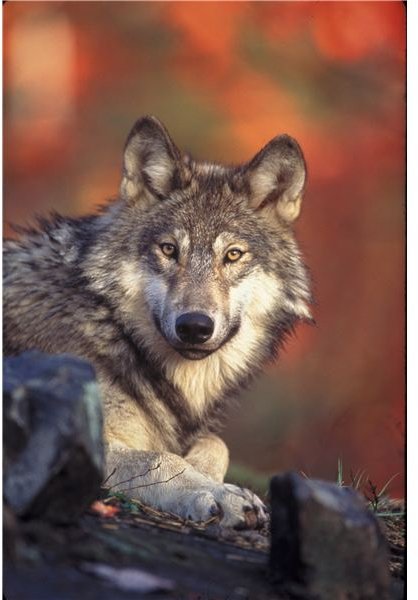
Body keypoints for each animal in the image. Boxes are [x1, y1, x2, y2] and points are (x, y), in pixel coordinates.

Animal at [3, 115, 310, 528]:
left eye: (232, 255)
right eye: (169, 250)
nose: (194, 326)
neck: (112, 328)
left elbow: (216, 444)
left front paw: (207, 474)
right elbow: (160, 460)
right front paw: (217, 493)